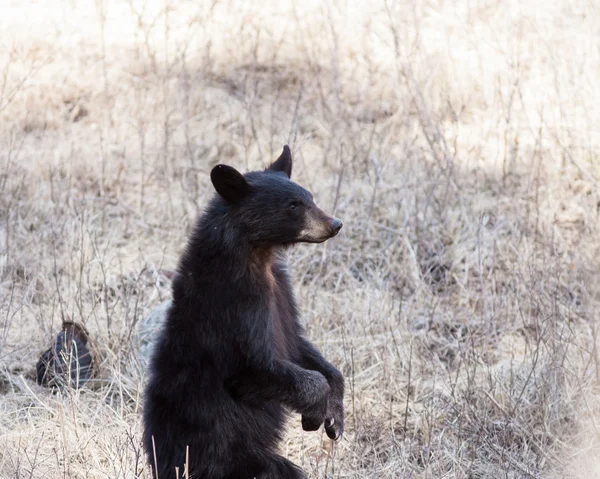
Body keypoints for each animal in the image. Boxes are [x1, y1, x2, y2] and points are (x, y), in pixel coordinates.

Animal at [142, 146, 344, 479]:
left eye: (310, 197)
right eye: (293, 205)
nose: (335, 224)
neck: (256, 257)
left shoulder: (282, 294)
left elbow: (299, 343)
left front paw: (335, 418)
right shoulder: (236, 303)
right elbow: (254, 365)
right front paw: (315, 411)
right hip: (226, 456)